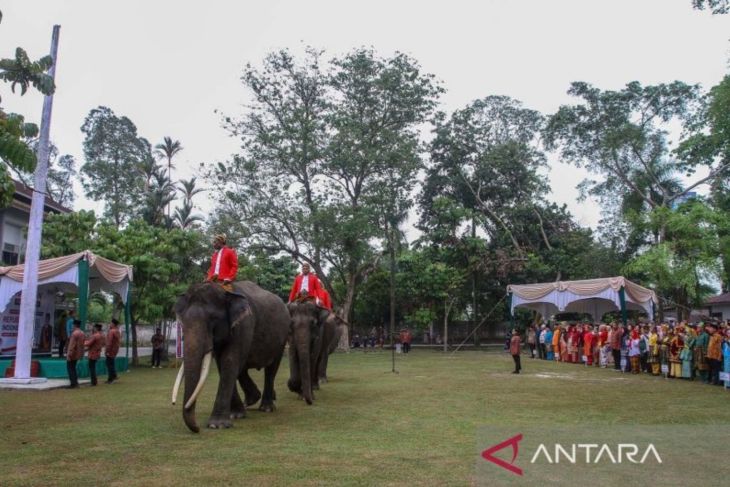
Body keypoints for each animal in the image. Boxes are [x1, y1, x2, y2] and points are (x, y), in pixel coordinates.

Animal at [172, 282, 288, 434]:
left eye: (213, 319)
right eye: (183, 322)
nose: (197, 428)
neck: (225, 290)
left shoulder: (244, 324)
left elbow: (229, 361)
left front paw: (217, 425)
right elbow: (223, 364)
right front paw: (236, 415)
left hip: (282, 338)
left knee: (271, 369)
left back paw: (266, 408)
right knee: (243, 368)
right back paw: (251, 399)